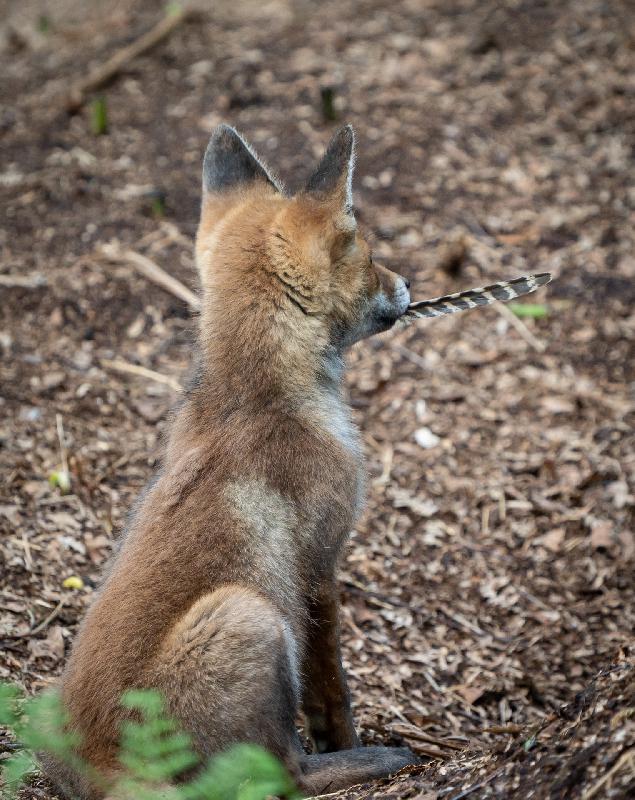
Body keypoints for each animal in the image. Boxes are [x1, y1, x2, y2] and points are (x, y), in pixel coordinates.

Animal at [42, 124, 418, 798]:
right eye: (370, 254)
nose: (410, 285)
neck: (254, 397)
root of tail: (106, 772)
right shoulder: (319, 567)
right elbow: (331, 692)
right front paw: (347, 741)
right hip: (250, 616)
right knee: (283, 772)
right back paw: (368, 761)